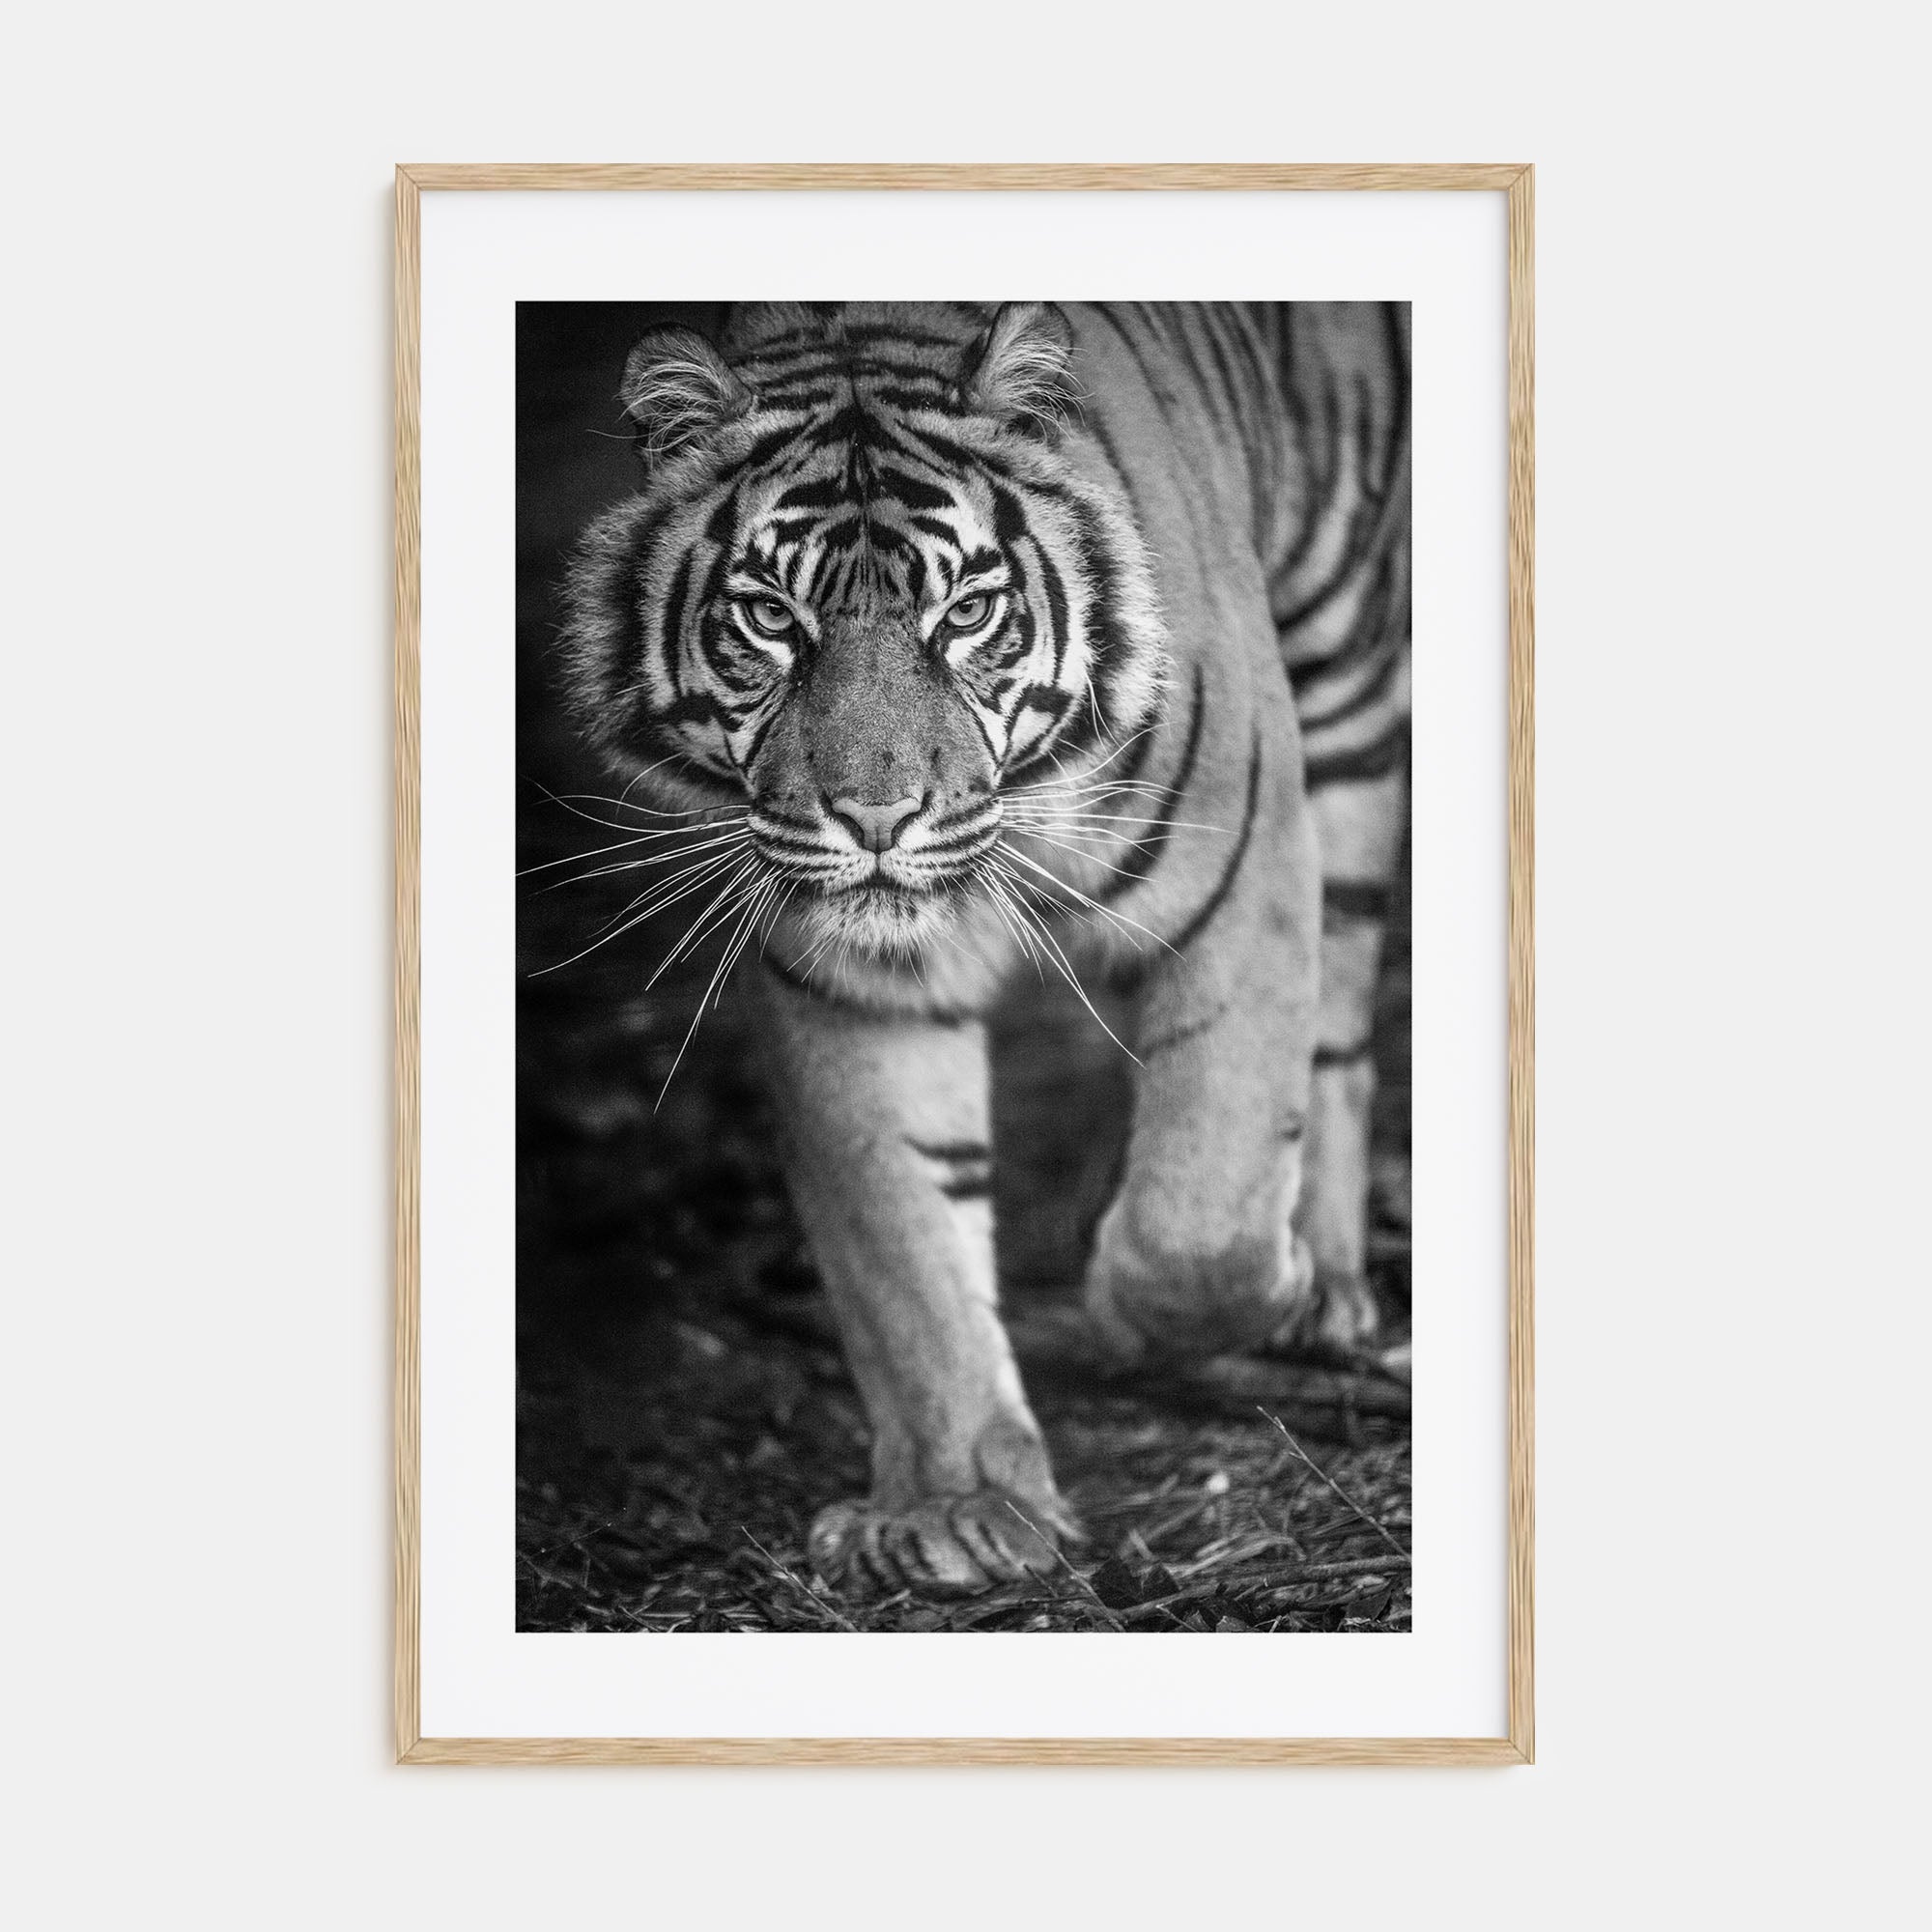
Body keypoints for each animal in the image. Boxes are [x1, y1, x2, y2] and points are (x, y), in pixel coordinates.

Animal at [560, 301, 1410, 1597]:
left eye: (964, 613)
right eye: (770, 617)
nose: (873, 819)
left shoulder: (1243, 859)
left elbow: (1198, 1218)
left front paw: (1237, 1295)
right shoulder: (852, 986)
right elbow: (903, 1243)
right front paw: (956, 1503)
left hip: (1346, 680)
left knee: (1340, 1035)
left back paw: (1321, 1285)